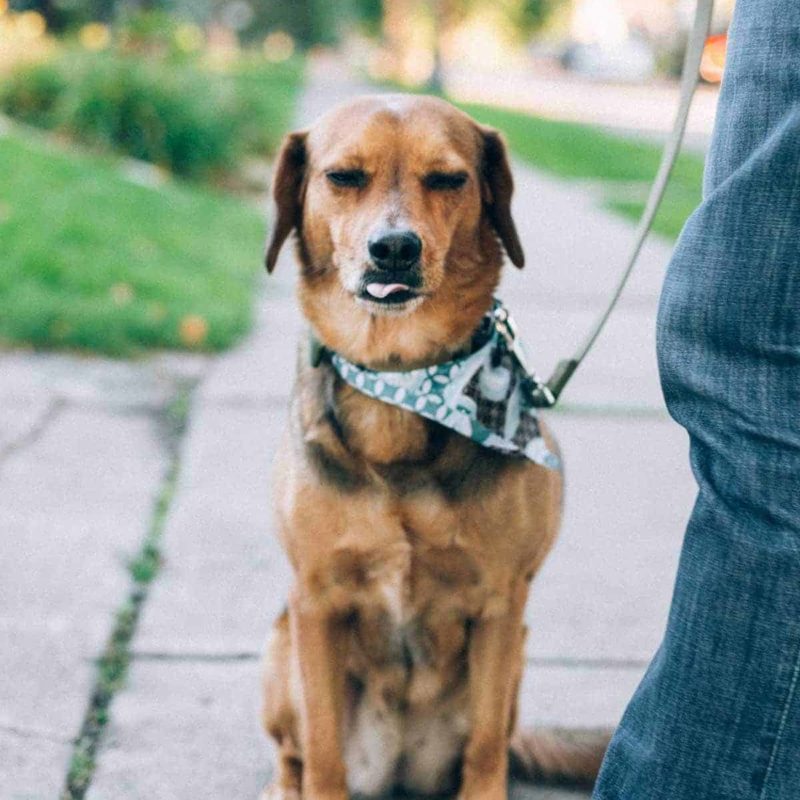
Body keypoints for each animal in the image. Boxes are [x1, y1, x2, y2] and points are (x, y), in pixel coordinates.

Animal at [260, 95, 608, 800]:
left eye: (449, 179)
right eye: (343, 176)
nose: (394, 248)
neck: (404, 381)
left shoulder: (503, 605)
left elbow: (484, 747)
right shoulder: (315, 600)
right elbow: (324, 751)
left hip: (515, 661)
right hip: (280, 646)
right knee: (294, 753)